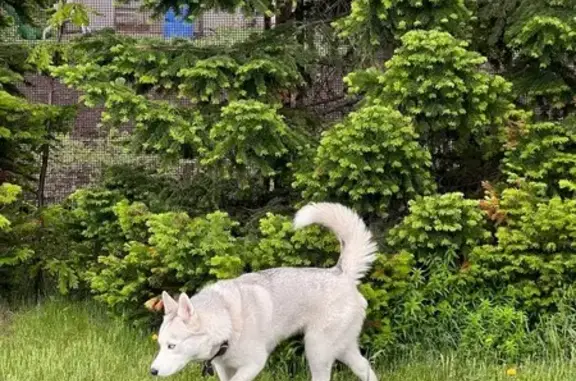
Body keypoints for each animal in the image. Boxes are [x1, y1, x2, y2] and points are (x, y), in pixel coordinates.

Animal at [151, 200, 380, 378]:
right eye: (161, 345)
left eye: (172, 346)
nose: (152, 371)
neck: (227, 319)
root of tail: (341, 273)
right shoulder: (224, 369)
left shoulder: (253, 364)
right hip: (342, 348)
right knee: (366, 369)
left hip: (317, 350)